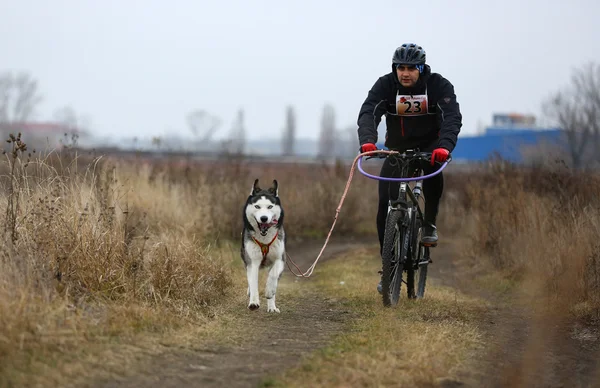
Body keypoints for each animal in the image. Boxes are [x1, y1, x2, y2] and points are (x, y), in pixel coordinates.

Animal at [239, 179, 286, 312]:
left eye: (270, 206)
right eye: (257, 206)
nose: (264, 218)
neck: (265, 240)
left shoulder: (280, 259)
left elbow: (273, 275)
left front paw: (269, 291)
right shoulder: (252, 261)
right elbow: (253, 282)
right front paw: (254, 302)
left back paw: (272, 307)